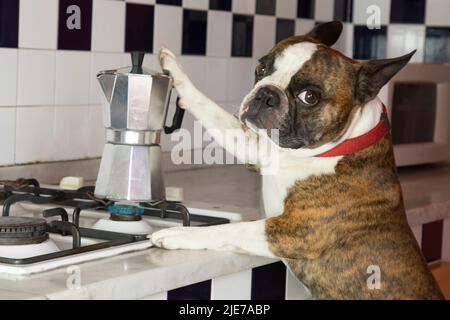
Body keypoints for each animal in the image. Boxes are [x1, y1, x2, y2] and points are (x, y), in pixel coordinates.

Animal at [149, 20, 444, 300]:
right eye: (261, 69)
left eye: (309, 97)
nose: (266, 94)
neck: (326, 151)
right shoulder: (255, 147)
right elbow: (208, 107)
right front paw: (174, 69)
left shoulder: (293, 232)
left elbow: (234, 229)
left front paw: (179, 234)